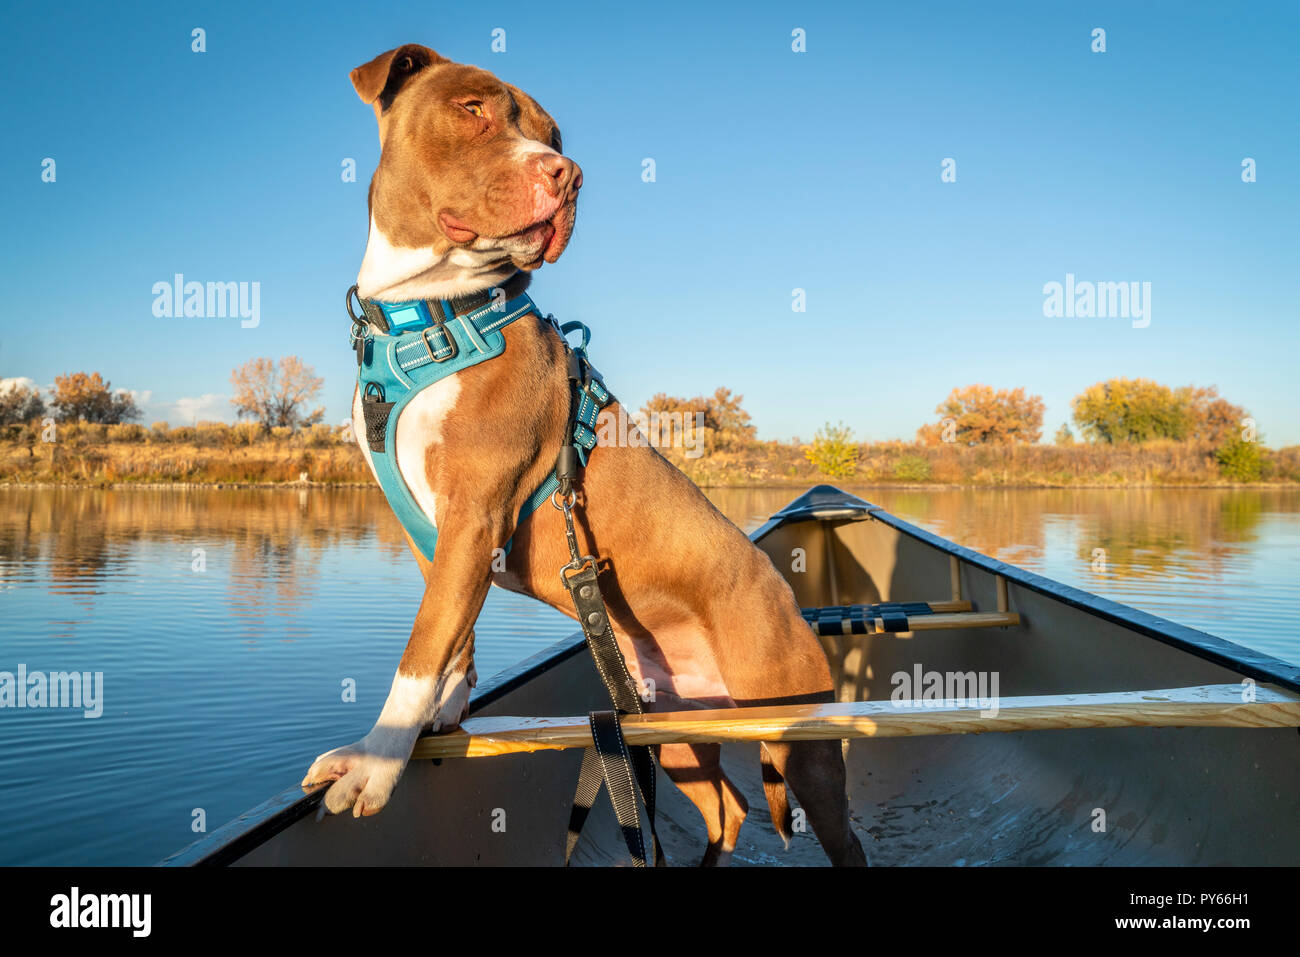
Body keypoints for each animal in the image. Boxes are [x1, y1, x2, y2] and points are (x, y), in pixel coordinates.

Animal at [302, 42, 868, 868]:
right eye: (472, 108)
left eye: (555, 136)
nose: (566, 174)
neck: (429, 312)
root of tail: (787, 598)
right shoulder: (437, 533)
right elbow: (450, 628)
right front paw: (445, 709)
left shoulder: (476, 513)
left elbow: (423, 640)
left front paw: (376, 759)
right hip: (665, 730)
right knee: (726, 806)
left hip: (801, 737)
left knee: (838, 829)